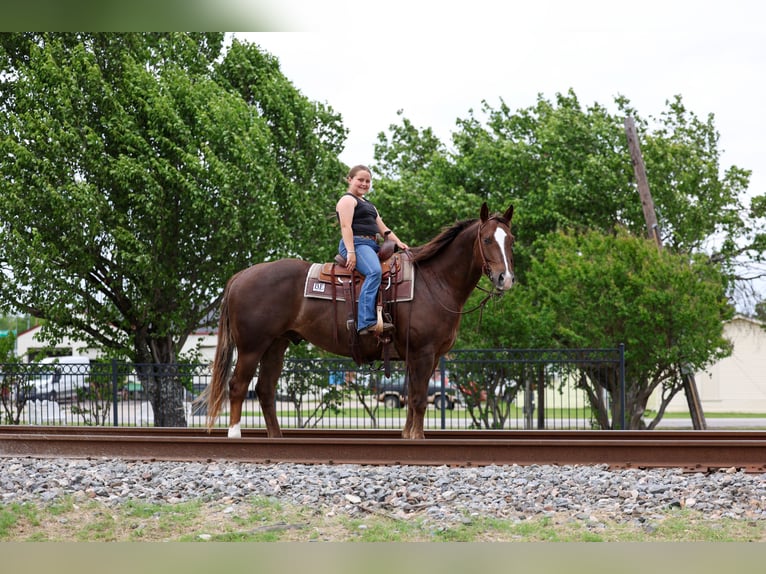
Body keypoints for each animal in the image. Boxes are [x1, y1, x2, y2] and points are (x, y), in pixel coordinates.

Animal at [200, 202, 515, 439]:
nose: (505, 278)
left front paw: (408, 435)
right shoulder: (423, 353)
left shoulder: (424, 356)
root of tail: (241, 276)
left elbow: (414, 398)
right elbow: (417, 399)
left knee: (265, 389)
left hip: (276, 345)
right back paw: (235, 435)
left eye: (510, 240)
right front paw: (417, 439)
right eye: (487, 239)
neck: (433, 282)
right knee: (238, 386)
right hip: (252, 347)